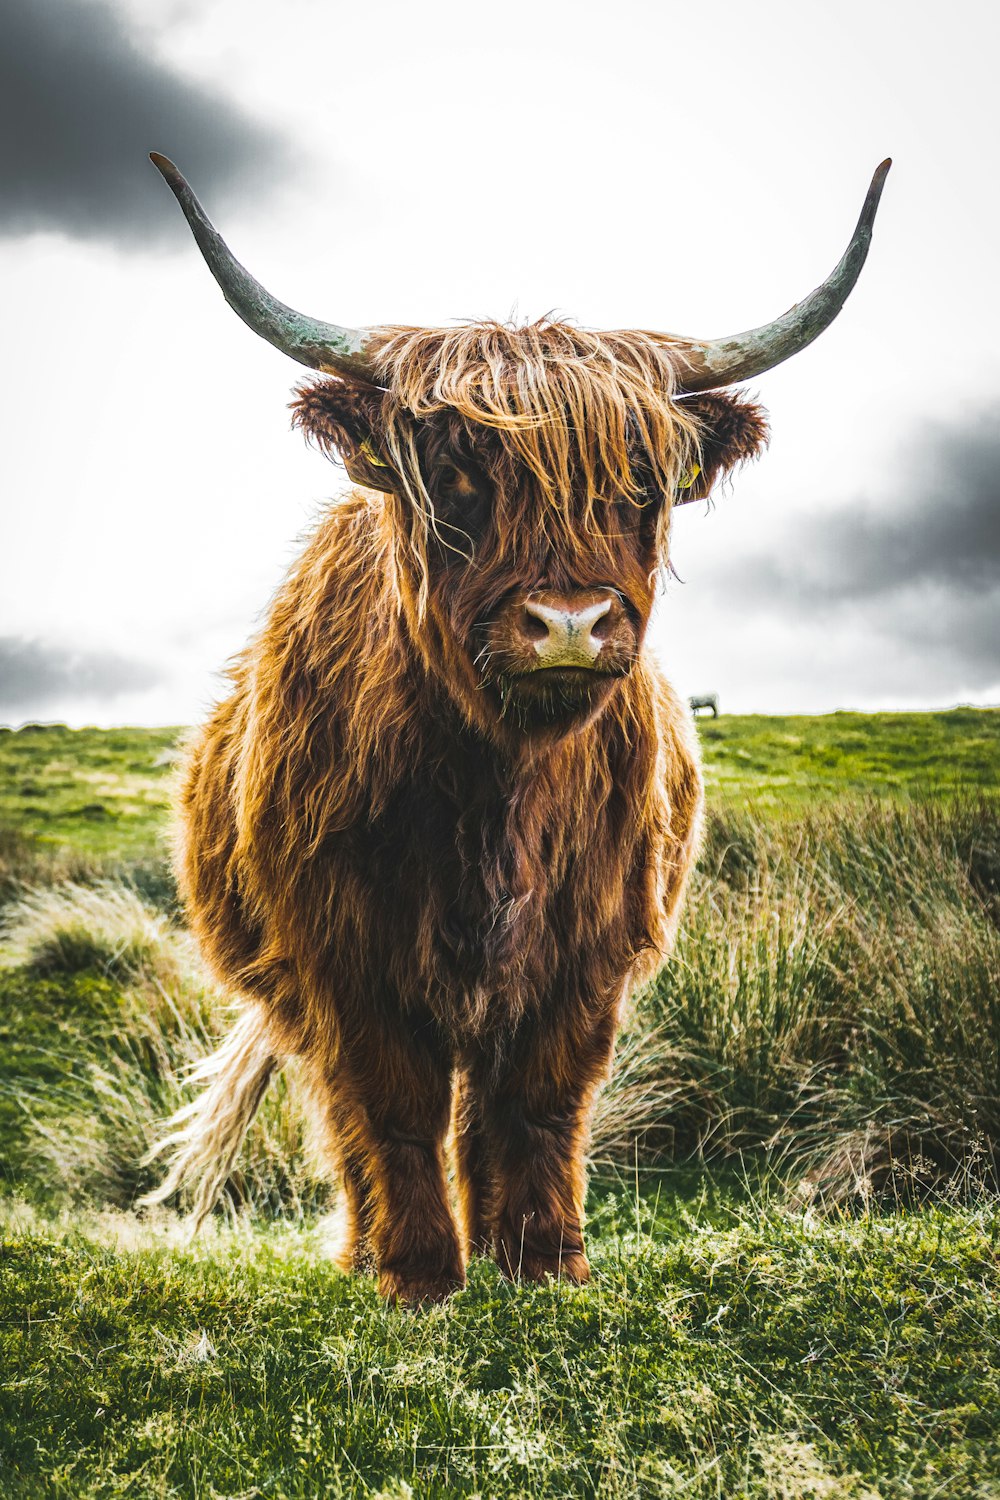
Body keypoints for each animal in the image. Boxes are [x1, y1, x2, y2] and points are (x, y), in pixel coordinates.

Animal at [142, 149, 893, 1302]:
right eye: (456, 475)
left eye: (640, 481)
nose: (569, 623)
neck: (495, 791)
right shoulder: (345, 954)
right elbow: (391, 1108)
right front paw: (418, 1277)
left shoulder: (588, 950)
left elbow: (538, 1104)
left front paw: (542, 1264)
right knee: (350, 1117)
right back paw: (366, 1255)